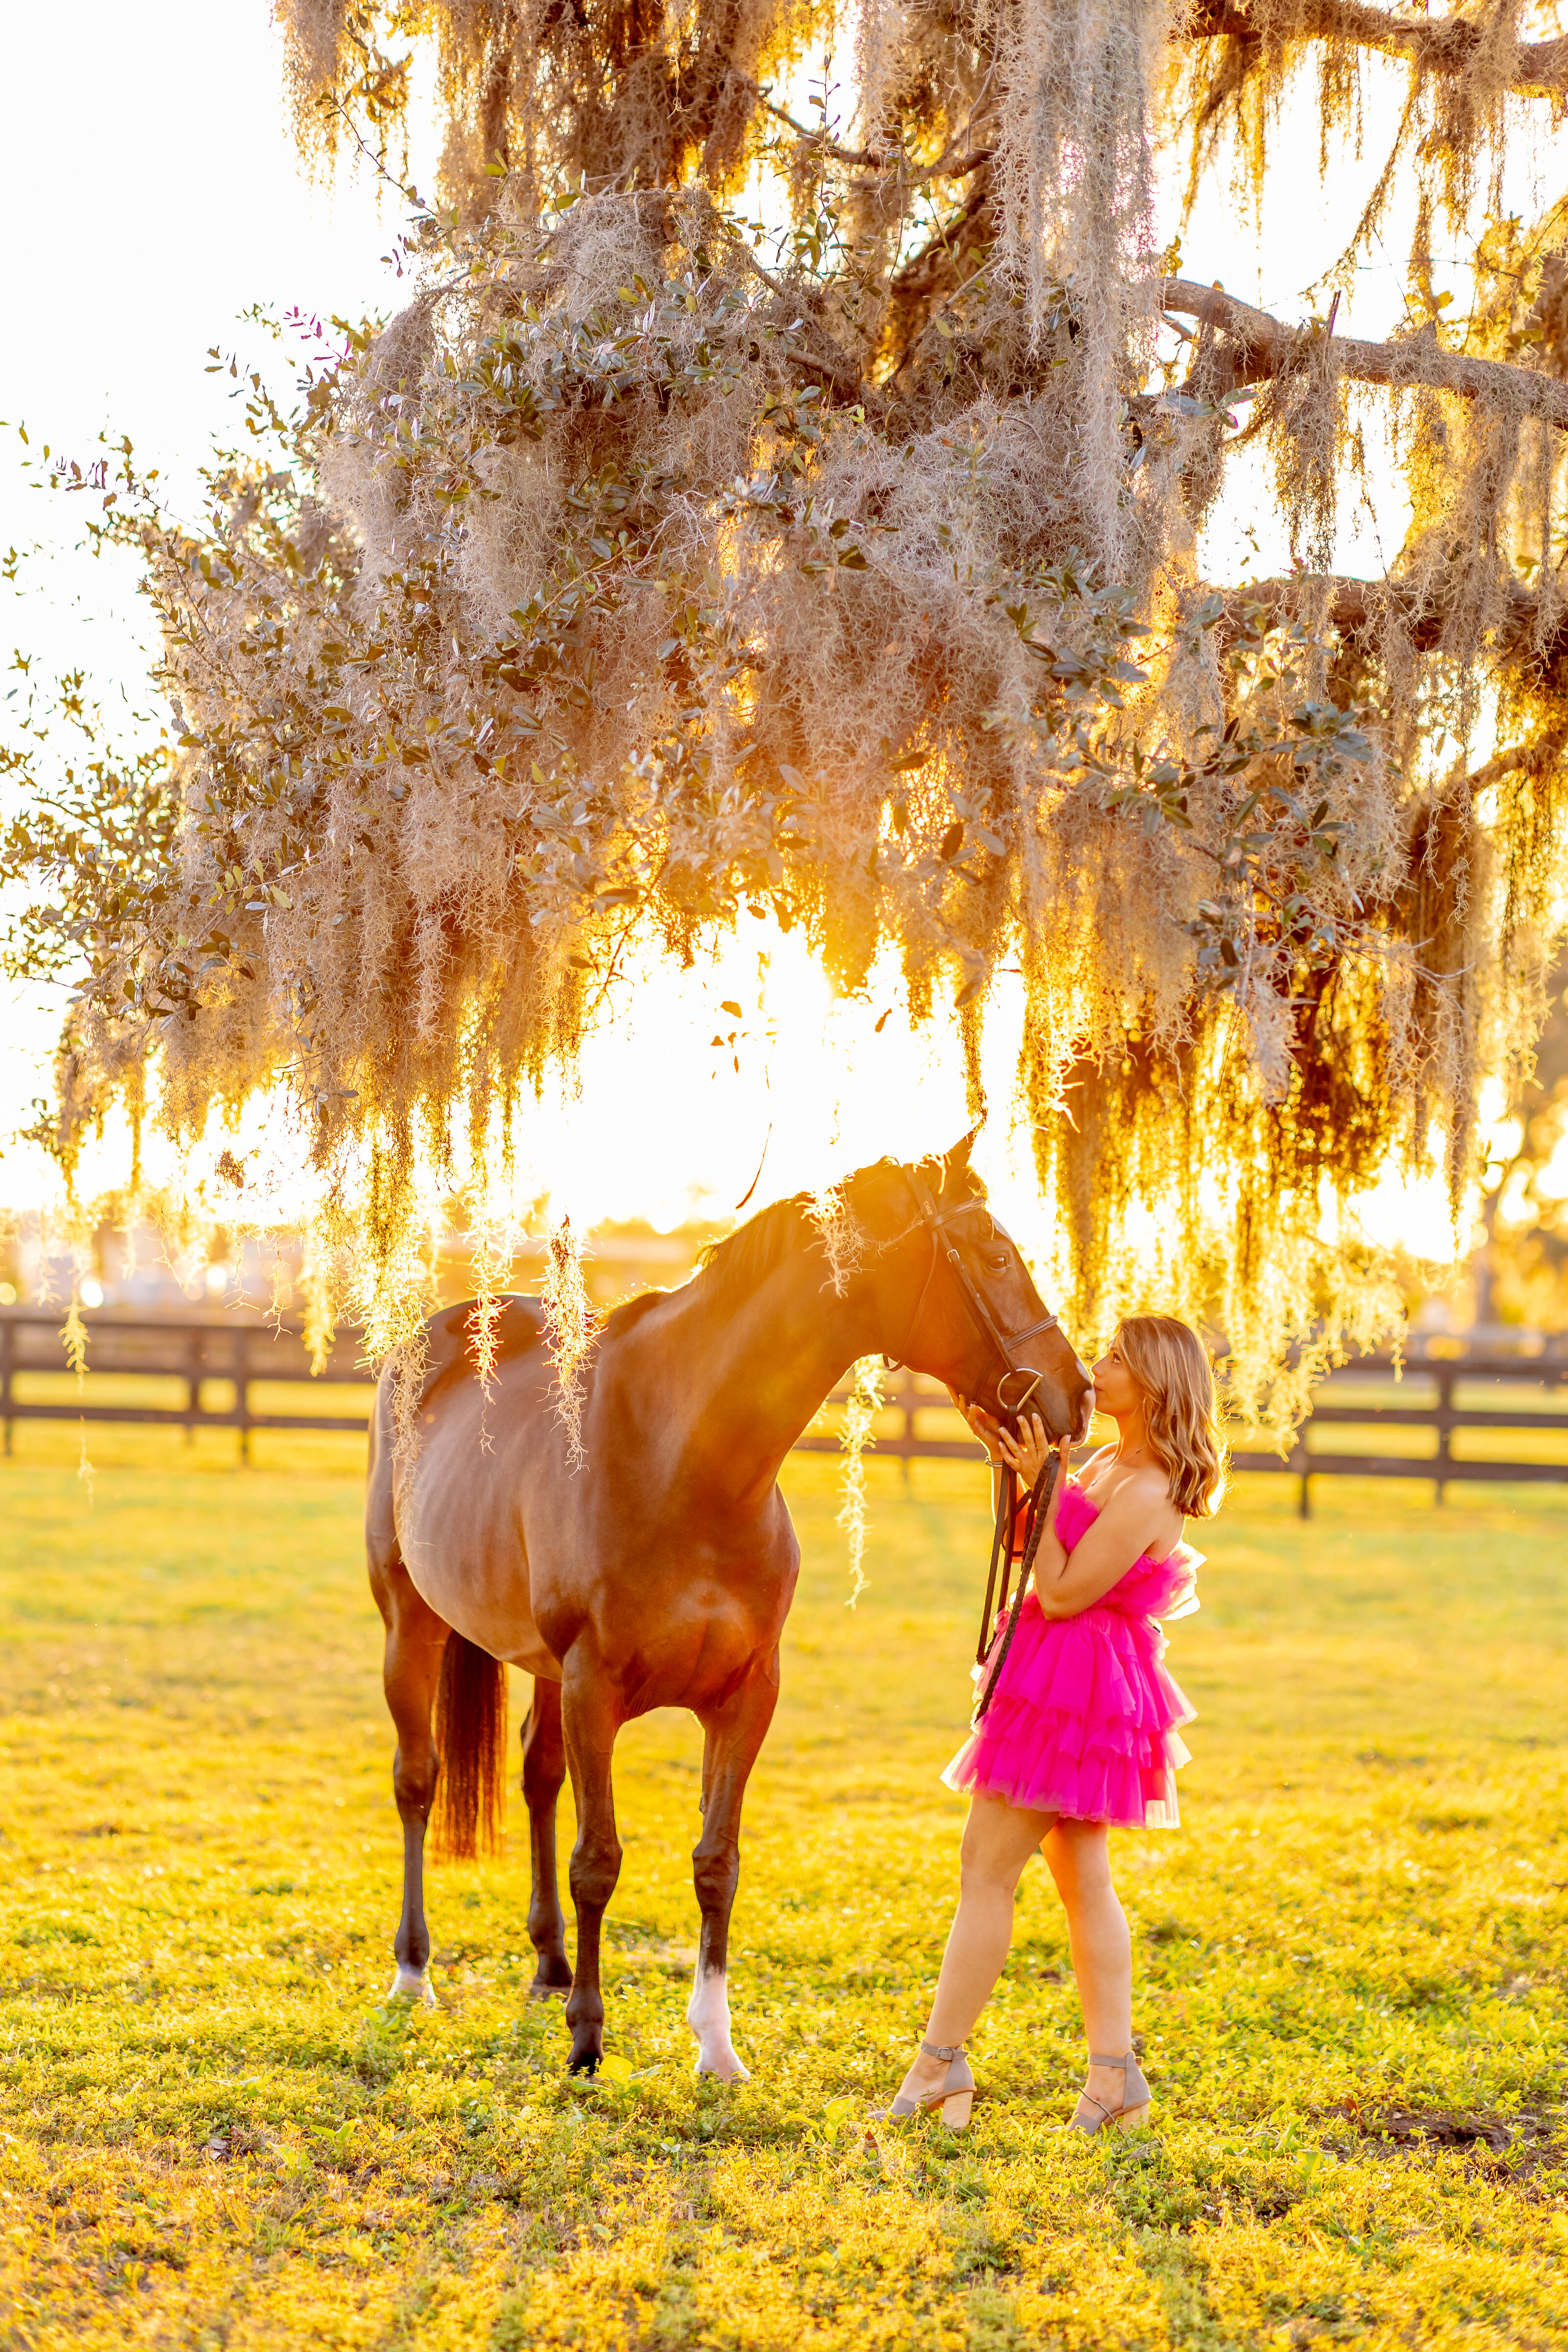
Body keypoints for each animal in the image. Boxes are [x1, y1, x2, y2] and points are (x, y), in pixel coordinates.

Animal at [365, 1133, 1095, 2076]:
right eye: (999, 1256)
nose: (1076, 1393)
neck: (684, 1458)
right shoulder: (595, 1687)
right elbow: (598, 1861)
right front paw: (589, 2041)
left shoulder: (747, 1694)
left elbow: (718, 1862)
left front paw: (715, 2045)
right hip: (410, 1625)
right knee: (418, 1782)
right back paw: (414, 1975)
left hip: (540, 1668)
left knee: (536, 1776)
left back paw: (551, 1967)